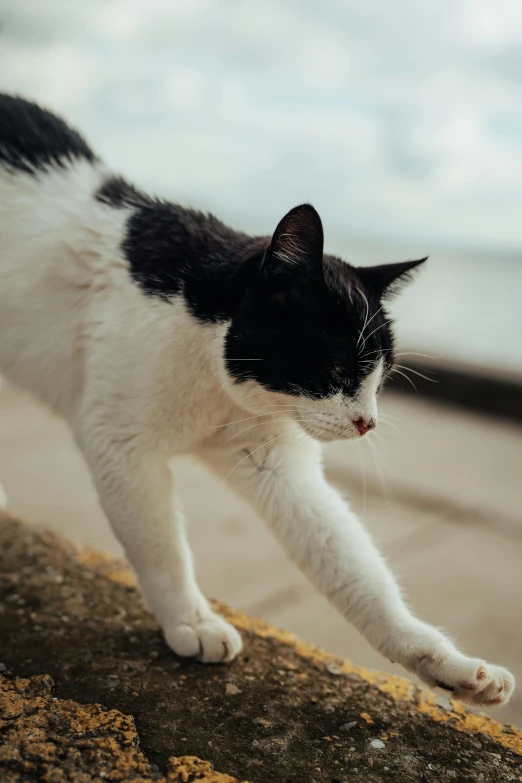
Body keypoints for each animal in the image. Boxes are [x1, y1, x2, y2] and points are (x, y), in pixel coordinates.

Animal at [0, 95, 512, 708]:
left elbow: (355, 570)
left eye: (381, 378)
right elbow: (161, 545)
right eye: (339, 370)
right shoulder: (120, 448)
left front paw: (449, 666)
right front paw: (191, 622)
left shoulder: (280, 469)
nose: (367, 423)